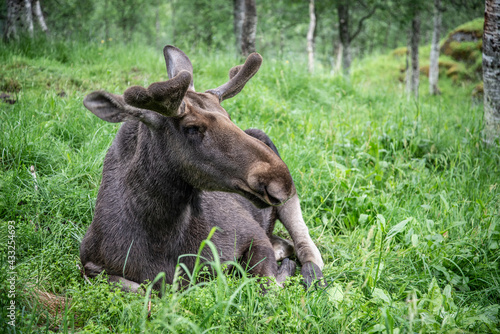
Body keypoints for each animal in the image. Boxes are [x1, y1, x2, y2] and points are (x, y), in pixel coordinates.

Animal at [80, 45, 324, 292]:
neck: (161, 233)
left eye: (228, 116)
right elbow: (139, 288)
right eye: (192, 128)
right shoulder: (89, 264)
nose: (281, 180)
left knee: (305, 245)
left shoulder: (253, 235)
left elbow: (267, 286)